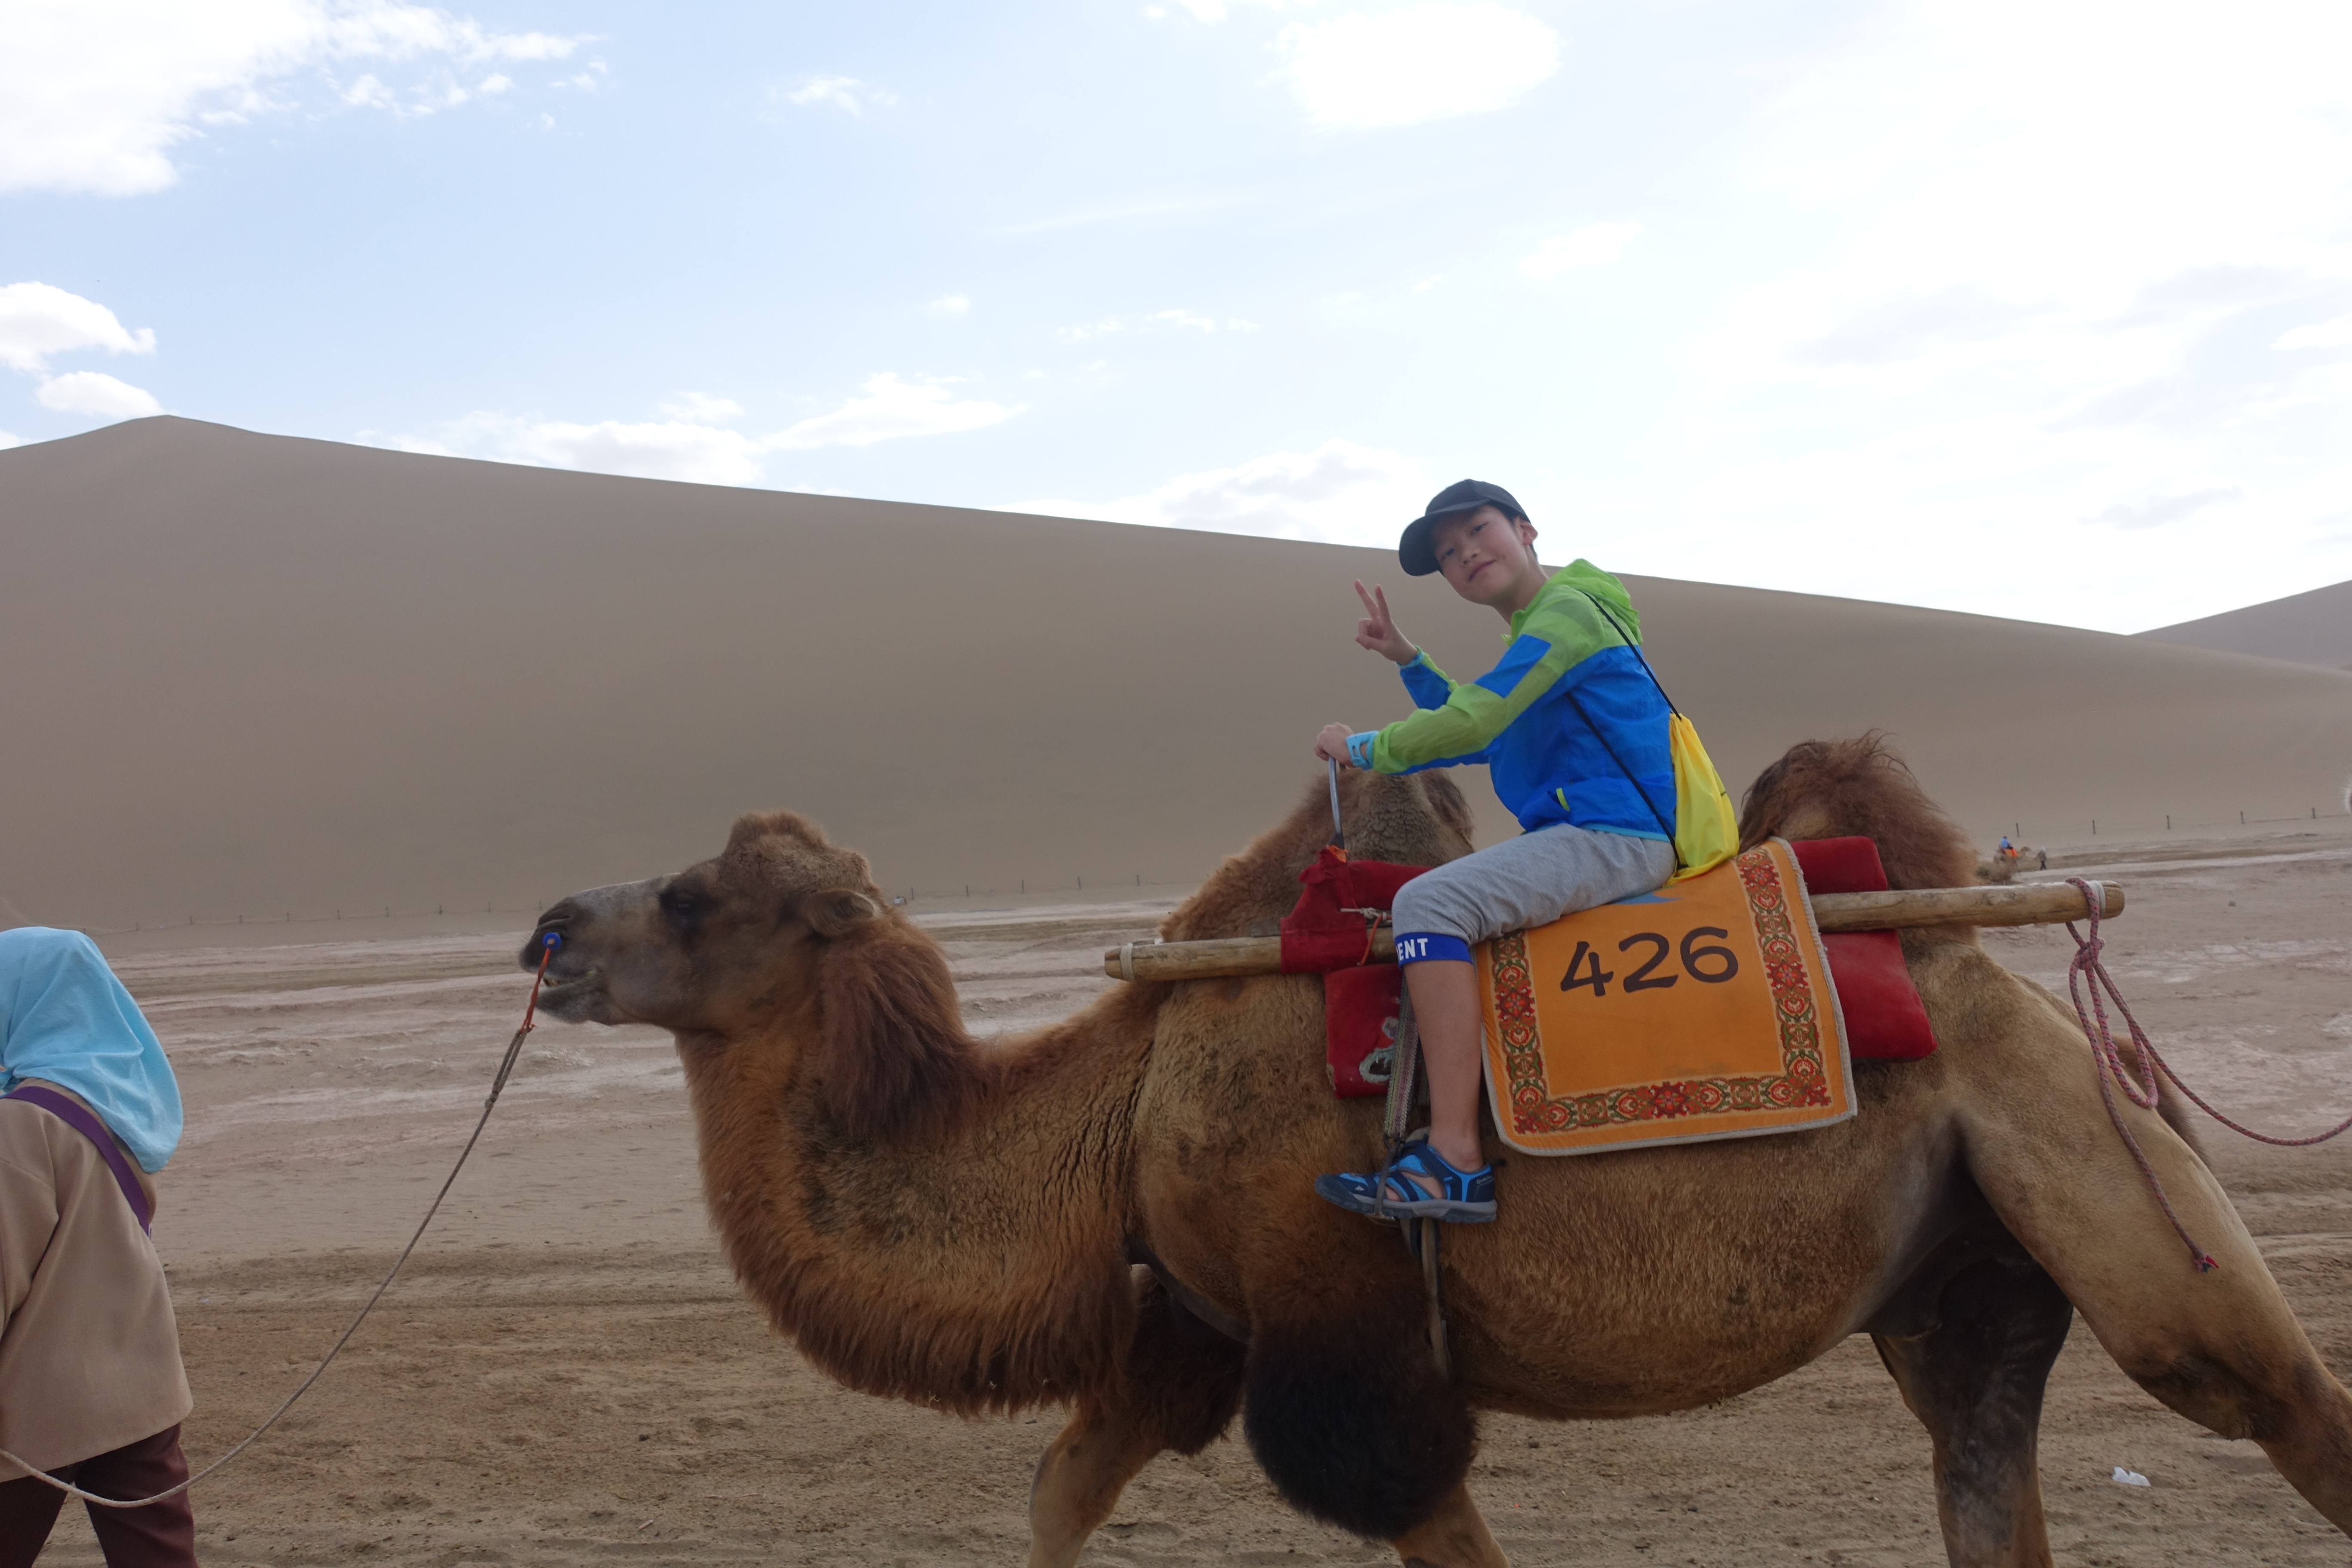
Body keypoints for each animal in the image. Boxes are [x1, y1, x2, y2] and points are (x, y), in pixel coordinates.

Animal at [521, 737, 2352, 1567]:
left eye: (690, 895)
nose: (545, 930)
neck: (1122, 1103)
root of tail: (2029, 981)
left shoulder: (1342, 1335)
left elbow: (1402, 1497)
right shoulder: (1201, 1321)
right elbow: (1060, 1484)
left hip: (2112, 1184)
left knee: (2280, 1398)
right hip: (1964, 1264)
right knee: (1983, 1455)